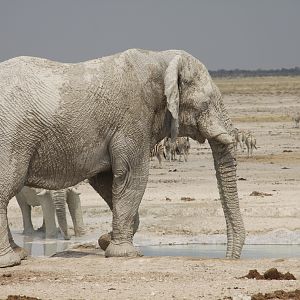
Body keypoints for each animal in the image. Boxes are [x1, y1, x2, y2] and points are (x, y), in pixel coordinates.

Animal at [0, 48, 245, 268]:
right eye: (208, 102)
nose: (228, 260)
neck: (161, 59)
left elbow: (107, 180)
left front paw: (106, 240)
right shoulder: (133, 119)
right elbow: (132, 176)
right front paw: (125, 254)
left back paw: (19, 253)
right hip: (12, 135)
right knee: (7, 188)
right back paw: (10, 261)